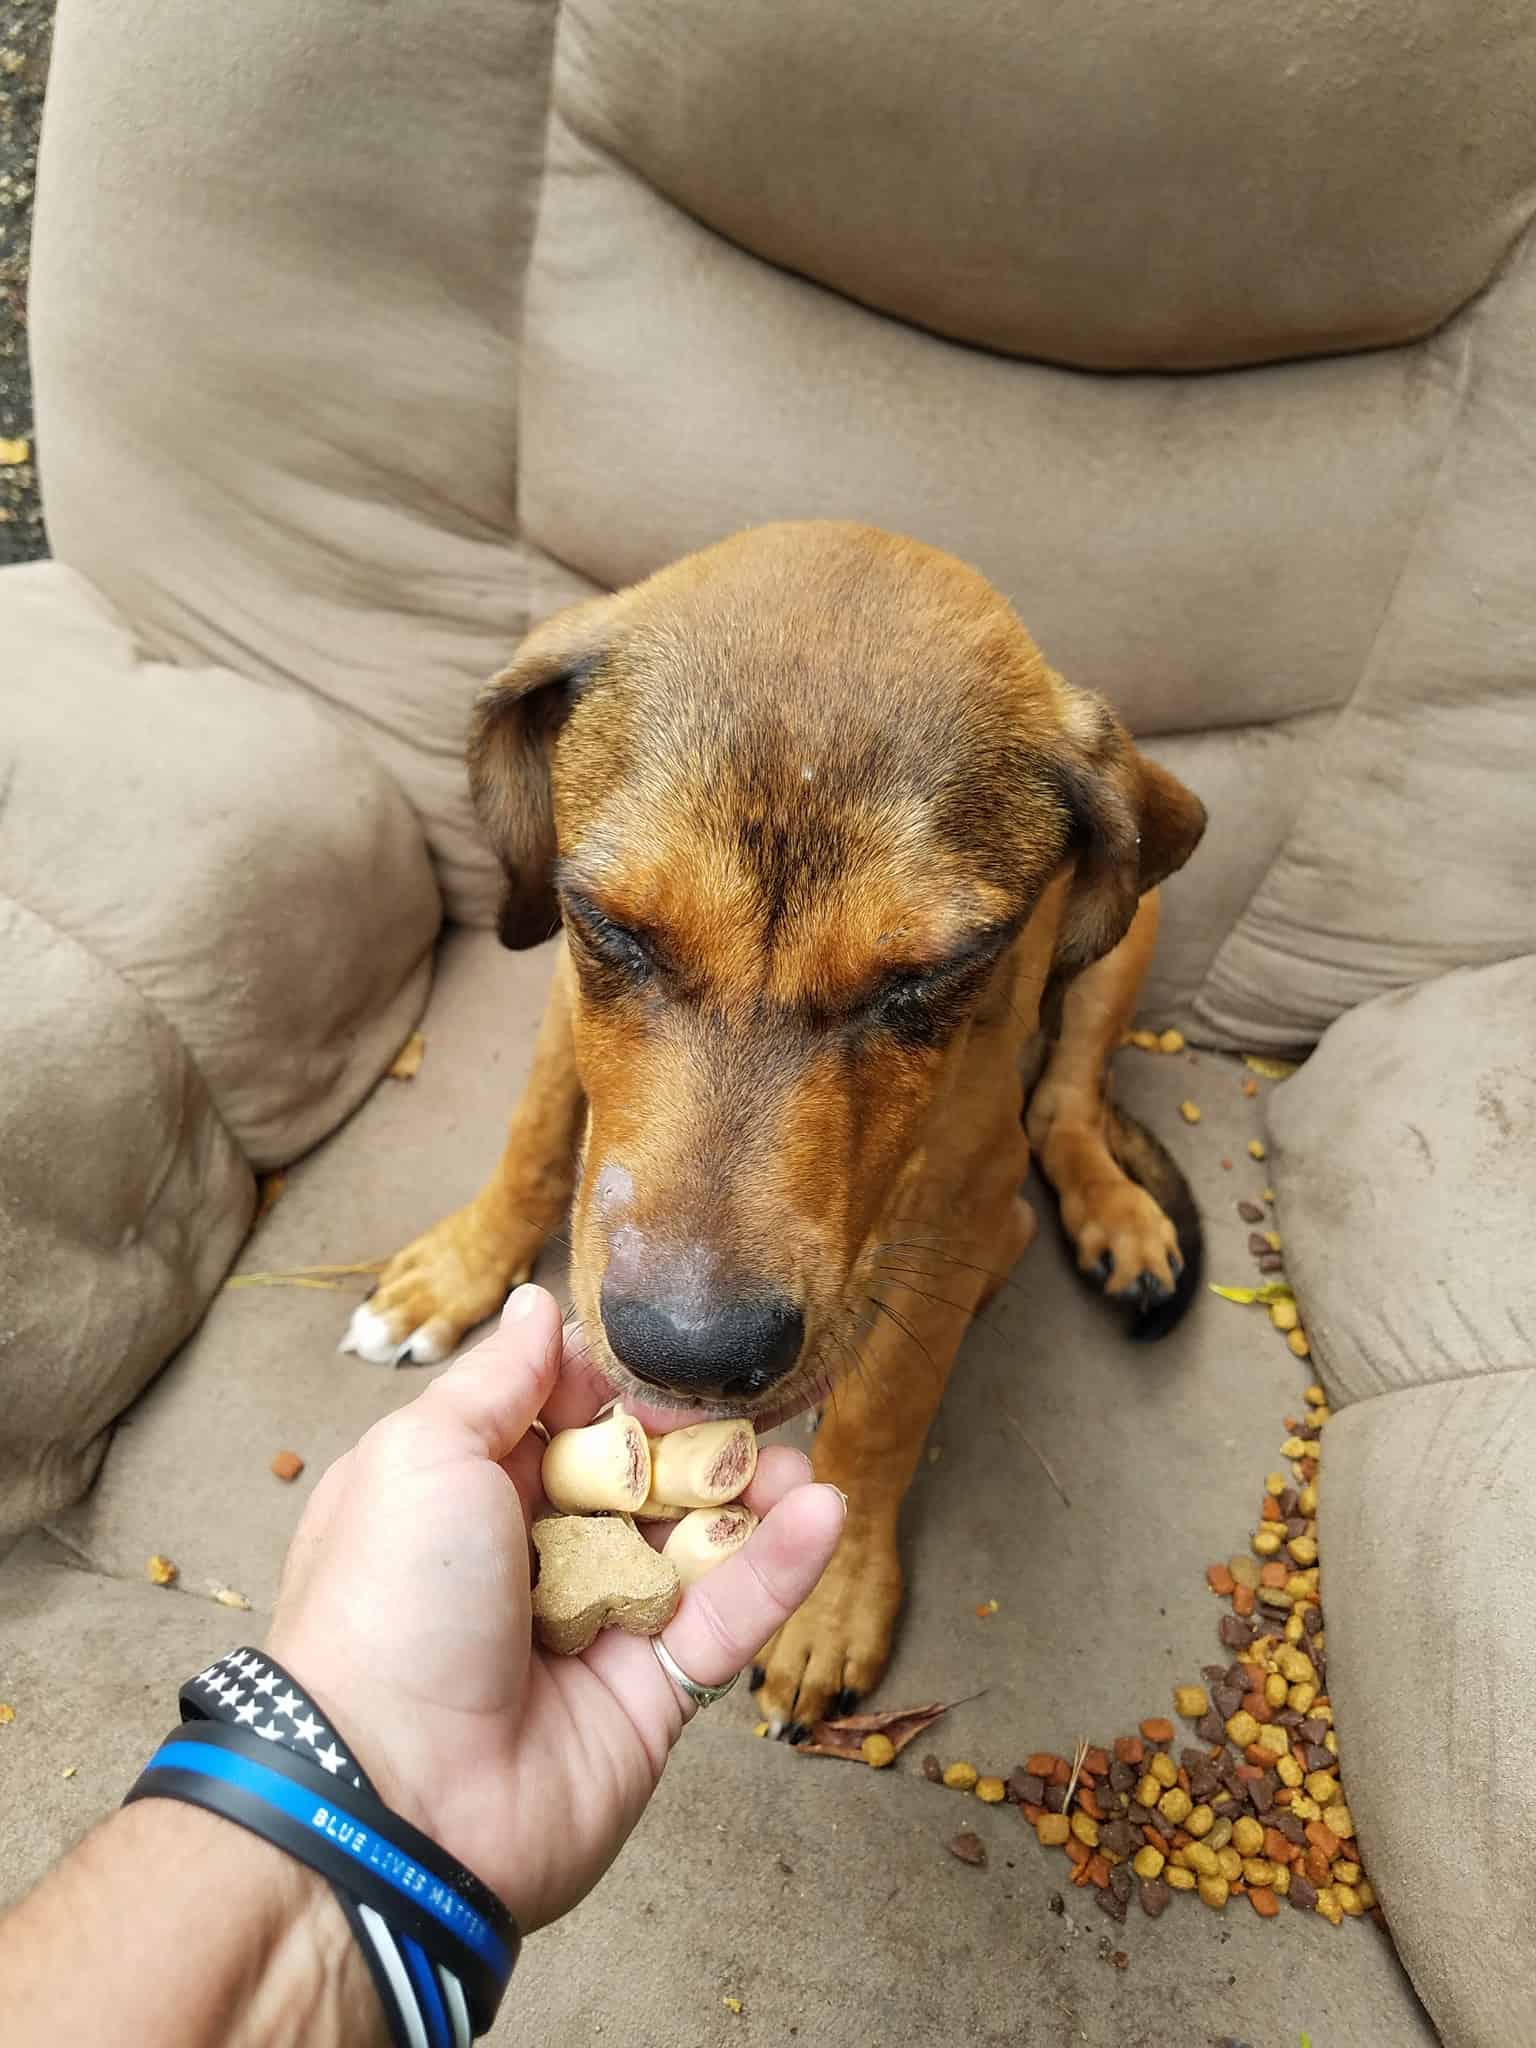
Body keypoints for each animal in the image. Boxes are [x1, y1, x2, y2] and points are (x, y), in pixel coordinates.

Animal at [342, 524, 1212, 1728]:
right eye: (611, 926)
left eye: (925, 977)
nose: (689, 1356)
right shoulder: (565, 993)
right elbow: (536, 1132)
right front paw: (457, 1268)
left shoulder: (956, 1181)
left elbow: (885, 1404)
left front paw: (834, 1595)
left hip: (1130, 942)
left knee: (1063, 1109)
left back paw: (1106, 1217)